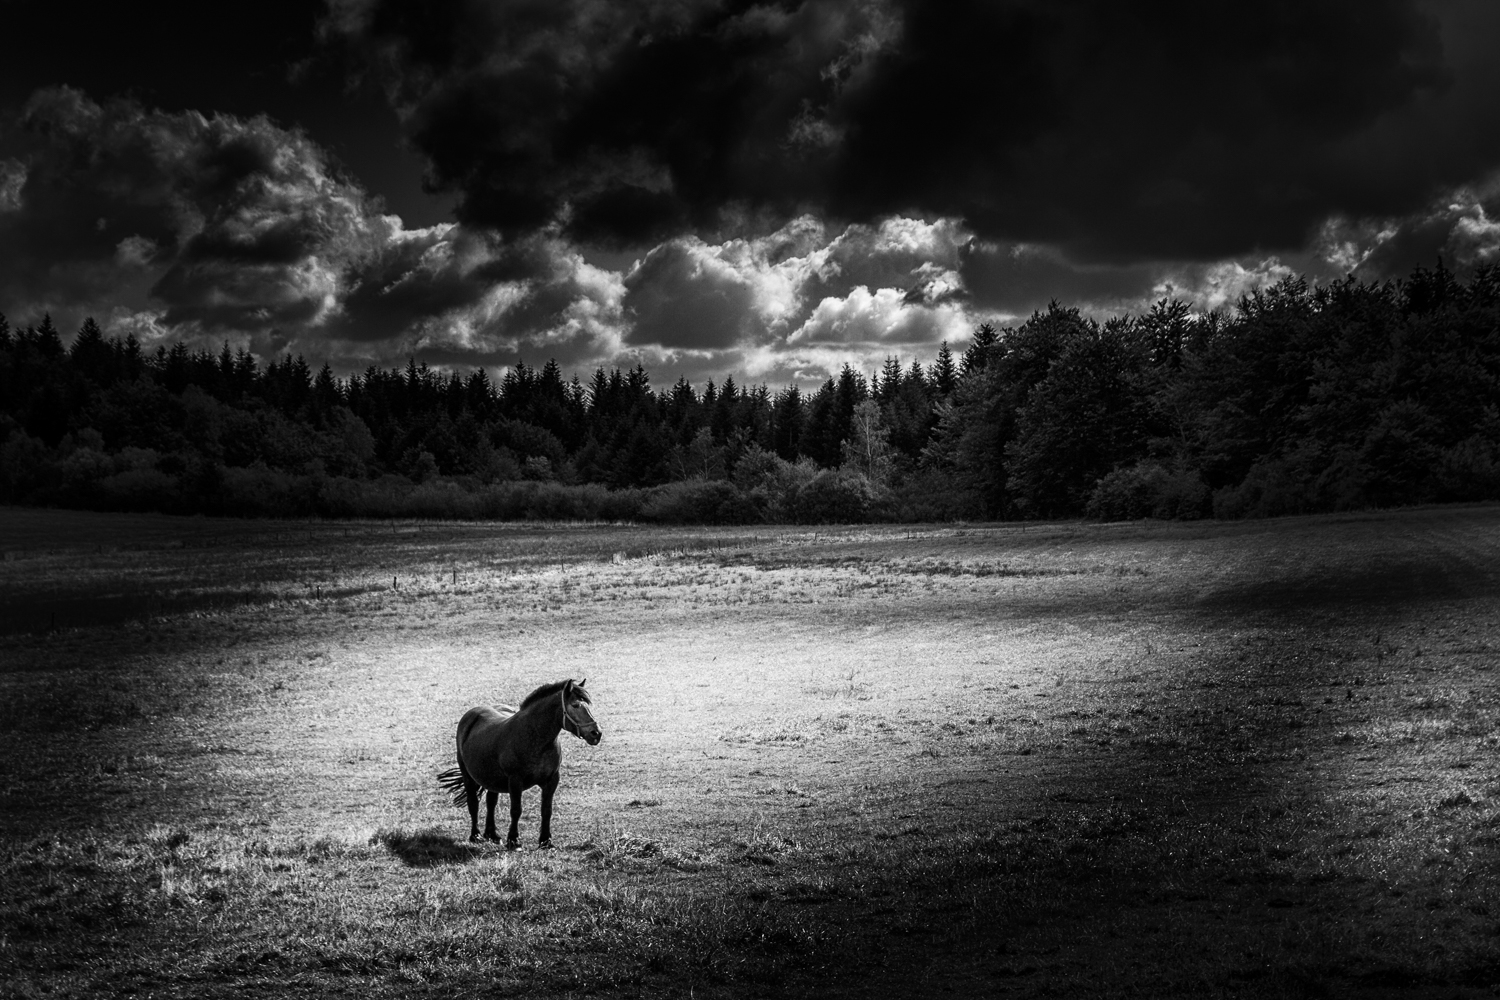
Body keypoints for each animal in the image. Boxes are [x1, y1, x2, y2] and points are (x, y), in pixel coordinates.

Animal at [437, 678, 601, 848]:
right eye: (575, 705)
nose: (596, 733)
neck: (535, 738)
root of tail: (470, 715)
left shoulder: (552, 780)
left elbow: (546, 810)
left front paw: (545, 841)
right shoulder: (515, 781)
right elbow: (516, 810)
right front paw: (513, 840)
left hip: (492, 778)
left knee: (491, 801)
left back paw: (492, 835)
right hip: (468, 776)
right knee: (473, 802)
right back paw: (475, 835)